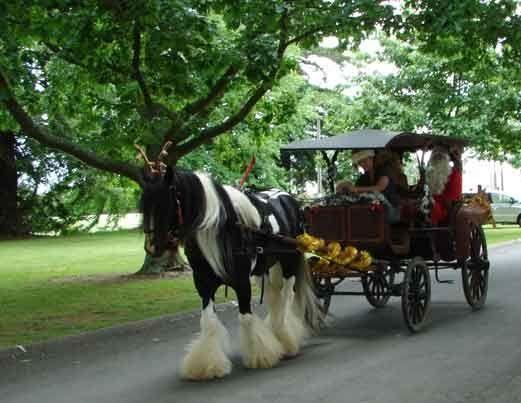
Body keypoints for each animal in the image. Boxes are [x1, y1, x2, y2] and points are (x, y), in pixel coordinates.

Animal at [140, 168, 322, 382]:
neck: (222, 230)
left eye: (165, 203)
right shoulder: (203, 284)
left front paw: (259, 356)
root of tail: (288, 198)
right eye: (145, 205)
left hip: (288, 263)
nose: (152, 247)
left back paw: (286, 338)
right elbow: (208, 321)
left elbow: (245, 318)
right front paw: (208, 365)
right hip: (265, 270)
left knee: (286, 298)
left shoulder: (242, 282)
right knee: (274, 298)